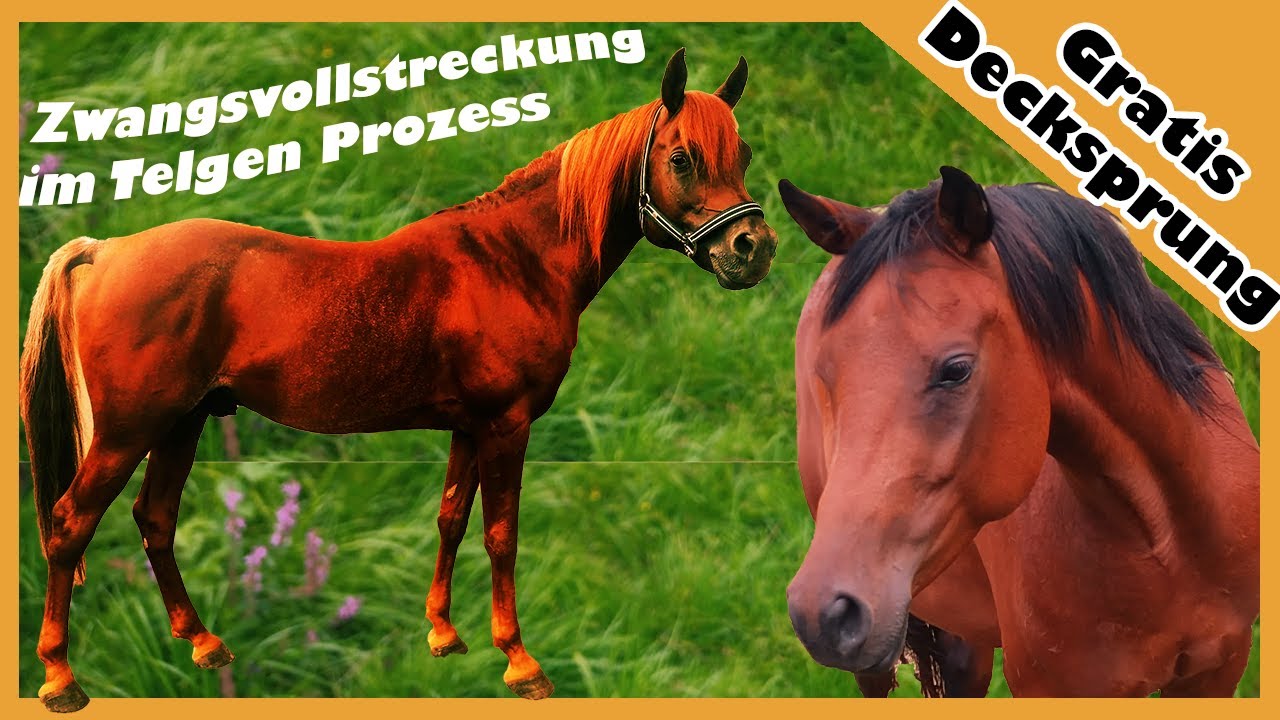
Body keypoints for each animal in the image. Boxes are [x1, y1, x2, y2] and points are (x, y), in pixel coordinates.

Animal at [19, 48, 777, 711]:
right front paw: (520, 663)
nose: (753, 250)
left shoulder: (470, 427)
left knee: (155, 519)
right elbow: (502, 535)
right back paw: (60, 679)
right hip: (128, 433)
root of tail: (102, 251)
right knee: (69, 523)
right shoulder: (506, 426)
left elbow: (451, 519)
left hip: (180, 423)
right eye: (681, 157)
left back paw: (203, 644)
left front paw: (444, 635)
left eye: (741, 155)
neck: (514, 259)